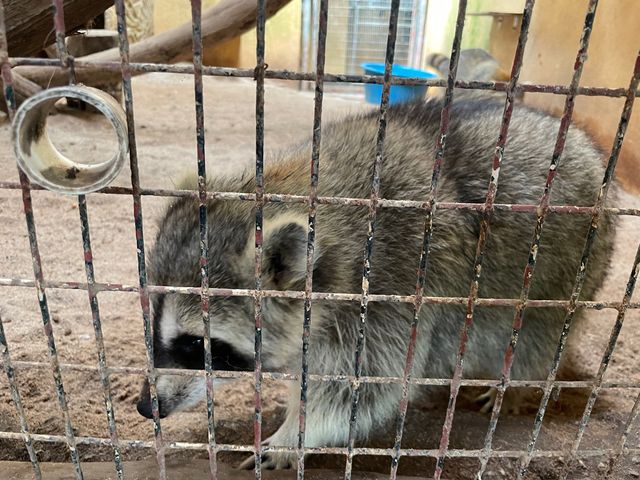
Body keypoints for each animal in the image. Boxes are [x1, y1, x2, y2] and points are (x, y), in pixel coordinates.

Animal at [136, 94, 616, 468]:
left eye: (195, 345)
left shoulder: (393, 285)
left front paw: (294, 433)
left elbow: (360, 387)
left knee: (535, 337)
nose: (145, 406)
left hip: (569, 269)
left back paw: (516, 386)